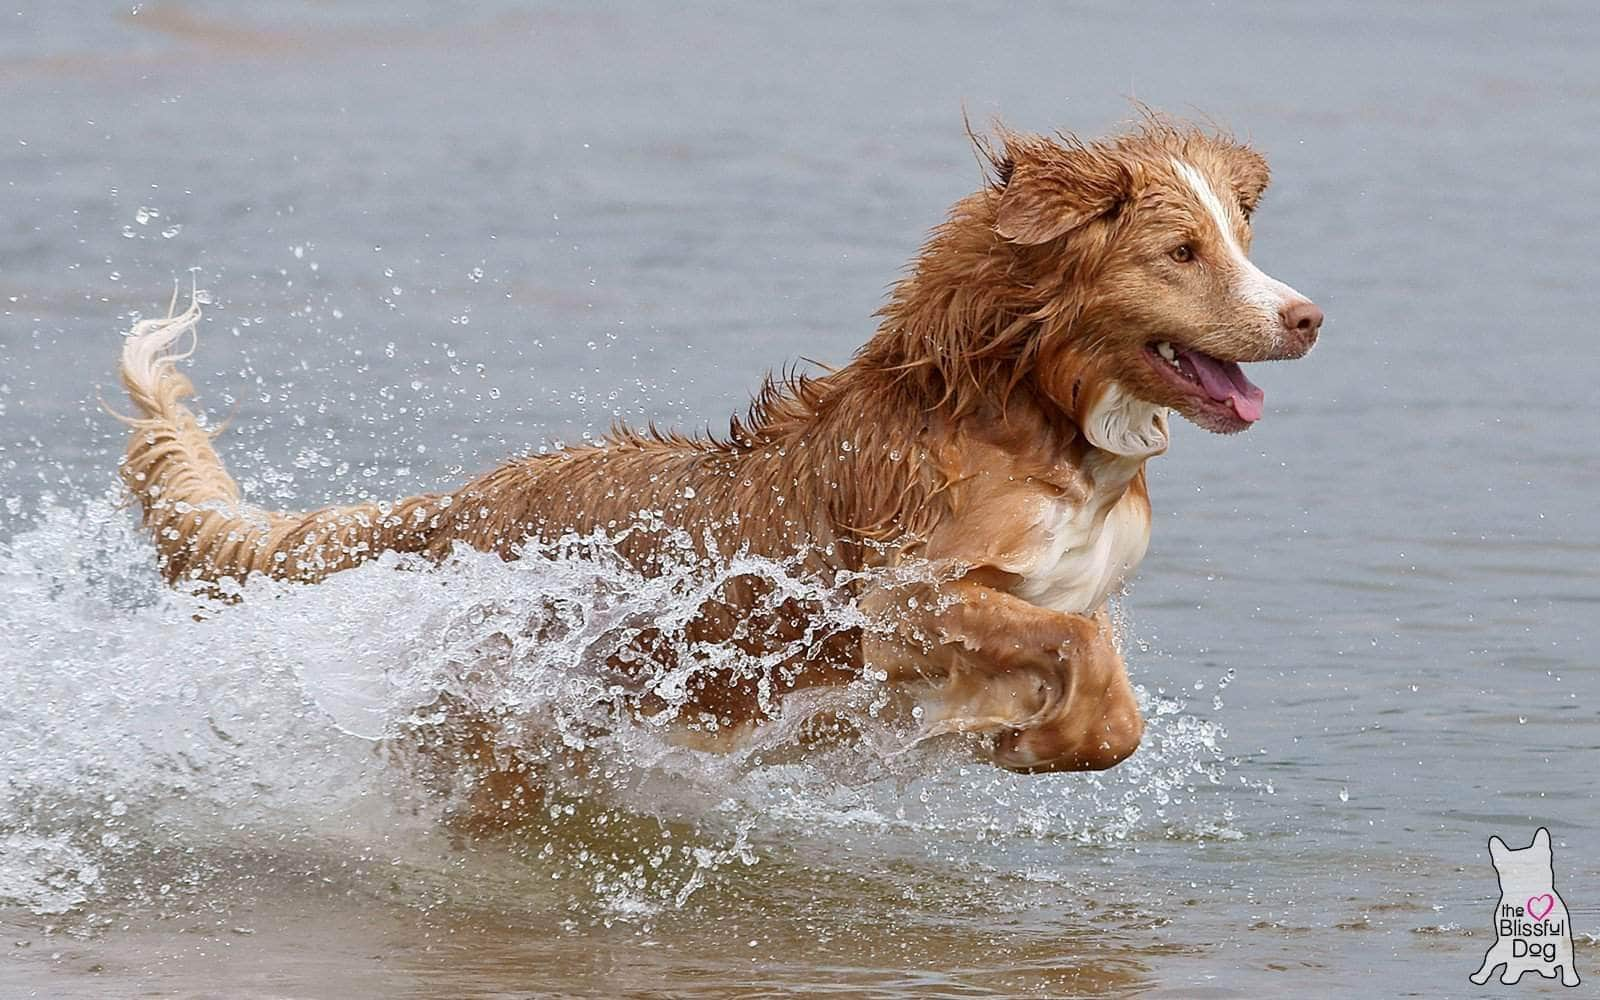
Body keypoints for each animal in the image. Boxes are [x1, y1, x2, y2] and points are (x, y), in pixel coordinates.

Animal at [109, 115, 1312, 812]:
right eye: (1181, 252)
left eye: (1241, 240)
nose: (1306, 317)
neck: (1028, 412)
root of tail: (461, 502)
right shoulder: (905, 599)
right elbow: (1082, 666)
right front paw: (1030, 741)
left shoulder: (1061, 589)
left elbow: (1104, 682)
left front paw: (1028, 733)